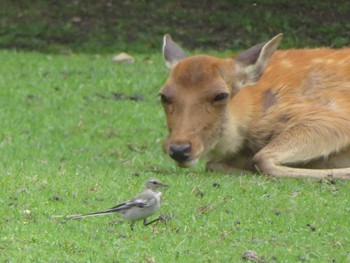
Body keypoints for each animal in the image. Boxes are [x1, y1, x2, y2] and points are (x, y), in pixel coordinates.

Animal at [159, 34, 350, 180]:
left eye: (221, 95)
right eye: (163, 96)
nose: (179, 149)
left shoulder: (334, 115)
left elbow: (262, 159)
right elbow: (213, 164)